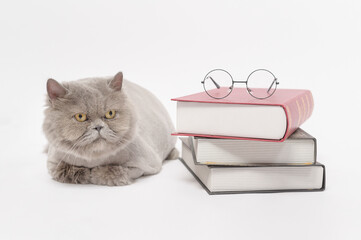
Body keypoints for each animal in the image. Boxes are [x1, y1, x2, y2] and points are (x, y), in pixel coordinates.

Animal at [43, 71, 178, 186]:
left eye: (110, 114)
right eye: (80, 117)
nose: (98, 127)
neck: (95, 160)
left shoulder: (147, 164)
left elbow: (118, 171)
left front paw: (96, 174)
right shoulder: (53, 163)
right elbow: (64, 170)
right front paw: (82, 173)